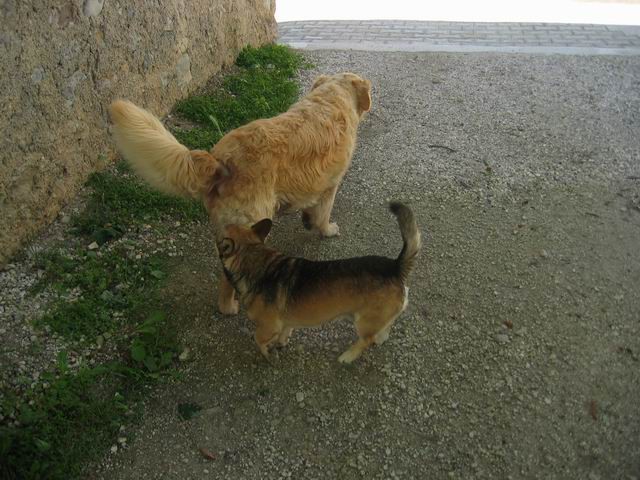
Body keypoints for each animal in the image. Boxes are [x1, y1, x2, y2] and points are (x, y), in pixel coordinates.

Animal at [109, 72, 370, 316]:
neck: (330, 97)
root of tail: (221, 161)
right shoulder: (331, 183)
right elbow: (323, 213)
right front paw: (327, 230)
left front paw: (308, 221)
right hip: (252, 222)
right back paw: (229, 307)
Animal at [218, 202, 422, 364]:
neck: (255, 257)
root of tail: (395, 266)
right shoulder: (285, 321)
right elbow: (285, 331)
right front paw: (281, 342)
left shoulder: (267, 327)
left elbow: (258, 340)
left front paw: (268, 354)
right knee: (384, 327)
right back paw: (381, 337)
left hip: (363, 322)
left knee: (366, 340)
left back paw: (348, 356)